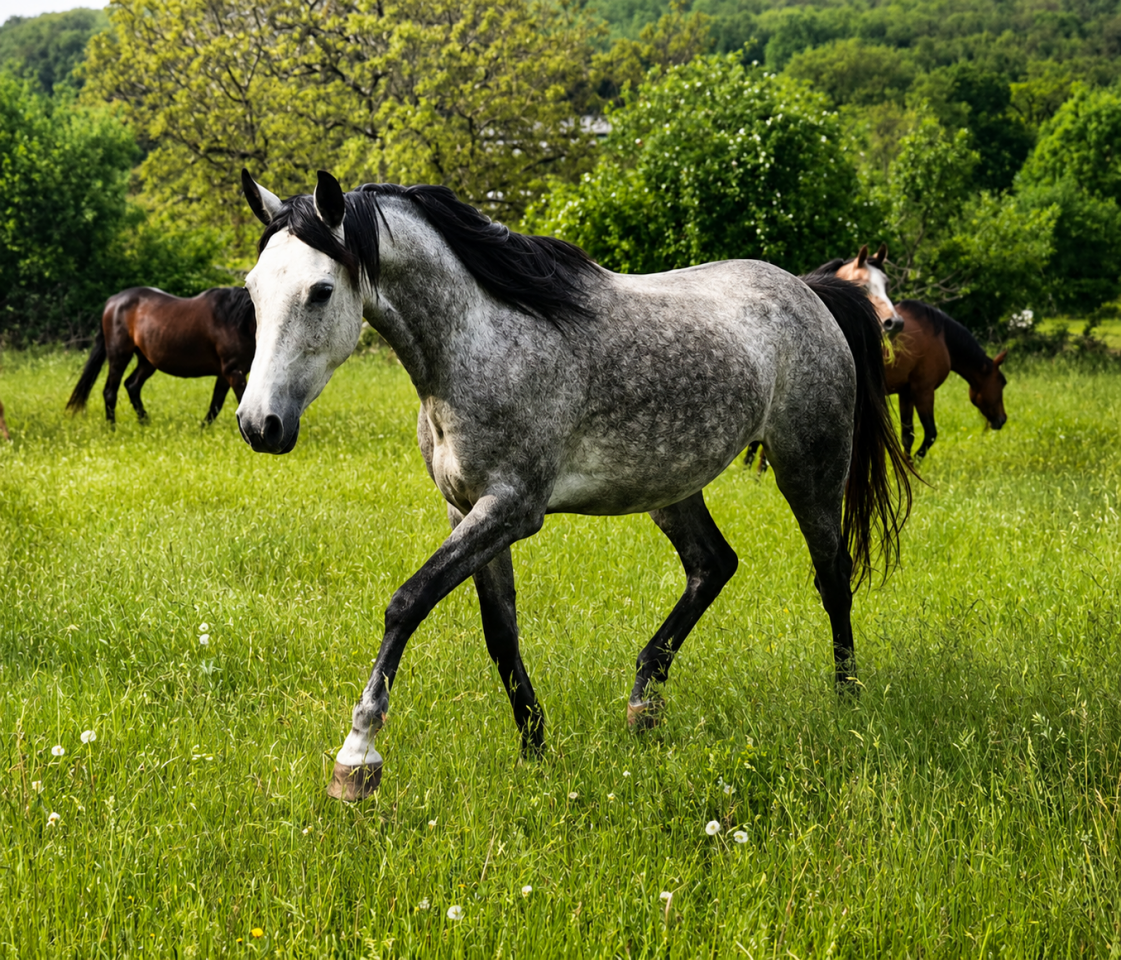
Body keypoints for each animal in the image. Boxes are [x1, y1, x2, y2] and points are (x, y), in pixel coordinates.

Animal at [66, 286, 256, 425]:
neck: (236, 320)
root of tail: (112, 302)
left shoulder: (227, 374)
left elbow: (216, 403)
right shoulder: (234, 371)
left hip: (147, 362)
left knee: (132, 385)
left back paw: (145, 423)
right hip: (119, 356)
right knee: (110, 392)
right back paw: (112, 428)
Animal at [236, 169, 913, 801]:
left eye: (321, 291)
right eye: (252, 289)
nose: (259, 424)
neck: (480, 342)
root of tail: (810, 292)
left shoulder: (511, 509)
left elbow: (408, 602)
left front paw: (357, 757)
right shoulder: (466, 511)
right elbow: (500, 632)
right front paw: (535, 749)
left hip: (809, 468)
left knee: (832, 574)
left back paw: (846, 700)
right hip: (671, 487)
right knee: (713, 565)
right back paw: (644, 705)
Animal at [888, 300, 1008, 462]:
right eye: (1003, 383)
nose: (1003, 419)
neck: (941, 336)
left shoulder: (906, 393)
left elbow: (908, 436)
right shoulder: (924, 391)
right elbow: (930, 434)